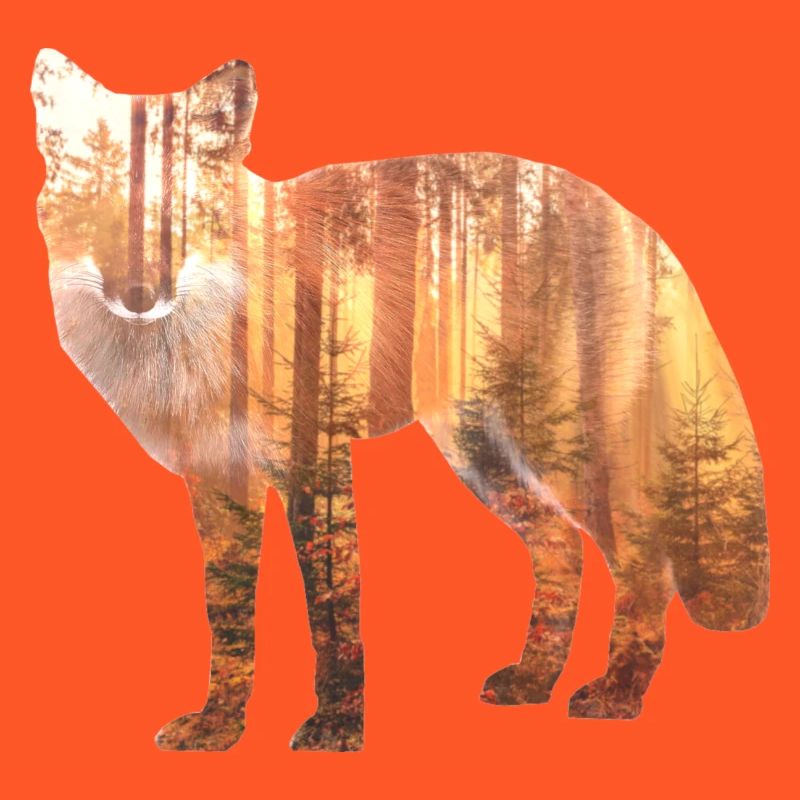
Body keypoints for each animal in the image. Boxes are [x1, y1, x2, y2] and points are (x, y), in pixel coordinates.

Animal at [32, 49, 769, 751]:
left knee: (645, 567)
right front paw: (219, 729)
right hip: (484, 458)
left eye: (183, 211)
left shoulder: (318, 462)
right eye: (96, 196)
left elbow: (332, 611)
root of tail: (619, 209)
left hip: (565, 449)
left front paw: (335, 731)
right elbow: (230, 620)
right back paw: (534, 683)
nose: (139, 292)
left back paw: (617, 694)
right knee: (565, 552)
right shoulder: (217, 485)